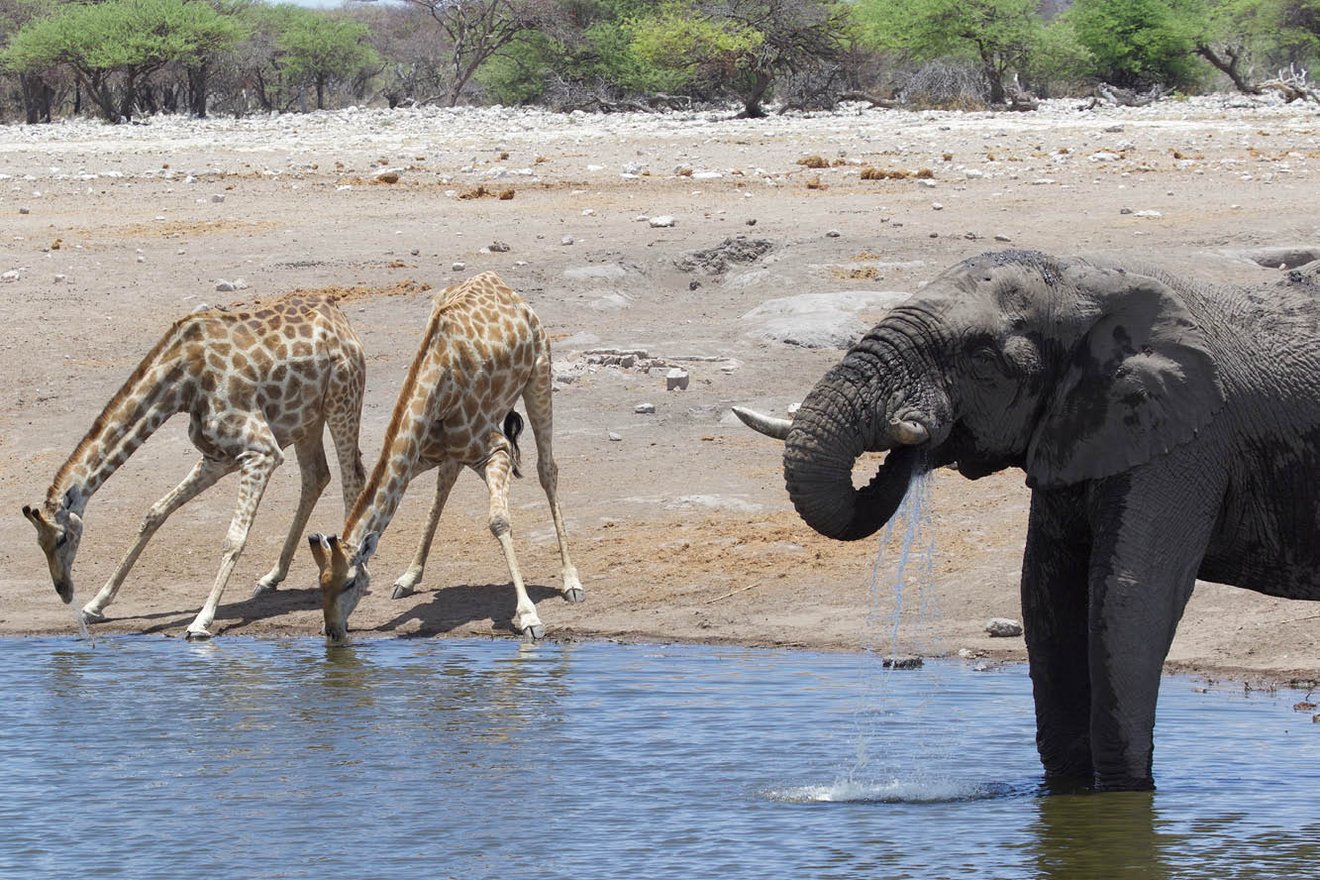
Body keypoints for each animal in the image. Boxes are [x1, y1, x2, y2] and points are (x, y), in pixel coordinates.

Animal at [20, 295, 369, 641]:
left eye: (61, 538)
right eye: (39, 544)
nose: (63, 590)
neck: (182, 382)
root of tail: (338, 315)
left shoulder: (261, 452)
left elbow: (234, 538)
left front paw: (202, 621)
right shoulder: (218, 458)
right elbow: (155, 512)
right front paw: (95, 604)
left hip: (342, 399)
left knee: (352, 477)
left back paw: (354, 572)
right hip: (306, 418)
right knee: (316, 476)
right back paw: (271, 577)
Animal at [308, 271, 583, 643]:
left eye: (350, 582)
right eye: (320, 583)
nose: (334, 631)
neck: (438, 385)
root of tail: (504, 286)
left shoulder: (496, 451)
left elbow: (498, 521)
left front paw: (529, 617)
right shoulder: (420, 456)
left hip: (539, 375)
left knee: (547, 469)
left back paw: (571, 582)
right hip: (458, 449)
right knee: (446, 484)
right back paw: (409, 577)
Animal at [739, 248, 1320, 791]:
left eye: (980, 356)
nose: (915, 429)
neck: (1087, 280)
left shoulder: (1187, 439)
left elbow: (1131, 594)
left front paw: (1124, 793)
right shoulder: (1078, 434)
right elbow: (1047, 593)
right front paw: (1069, 792)